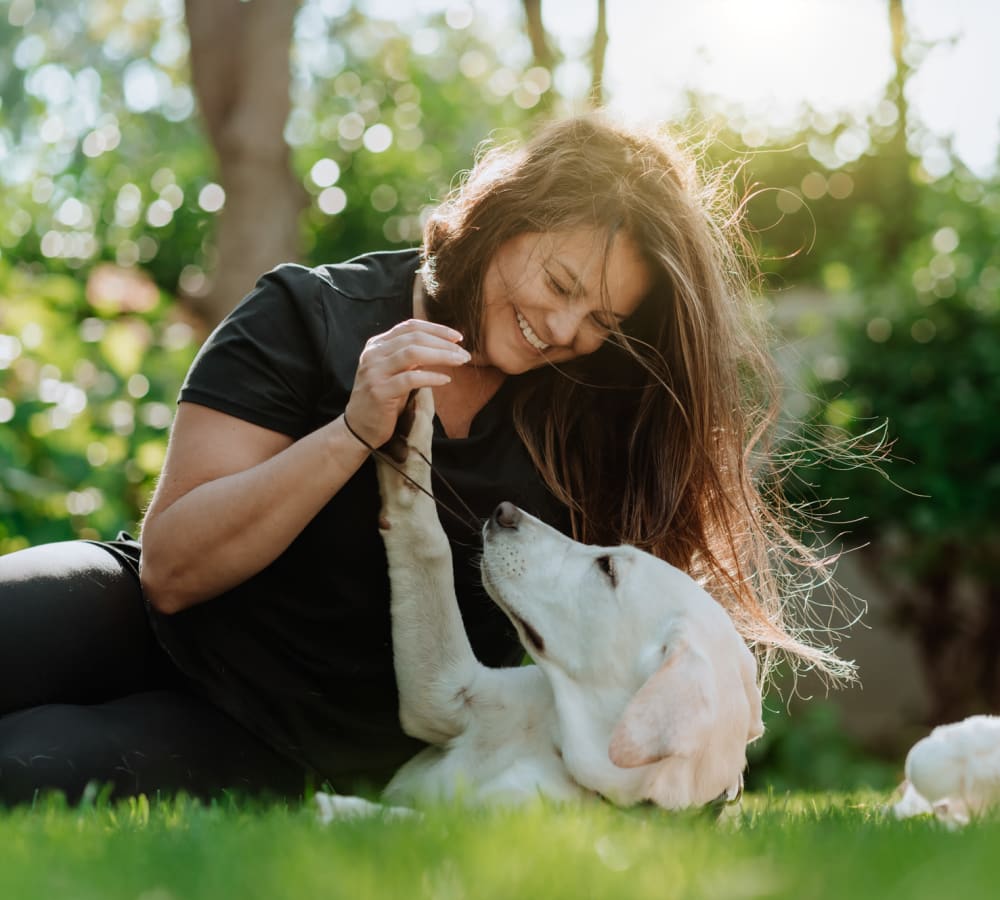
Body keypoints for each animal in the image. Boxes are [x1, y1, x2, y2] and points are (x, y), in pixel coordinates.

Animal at [316, 390, 760, 820]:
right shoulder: (448, 692)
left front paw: (342, 809)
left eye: (607, 568)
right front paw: (408, 432)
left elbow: (412, 821)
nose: (504, 511)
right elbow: (426, 542)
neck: (558, 747)